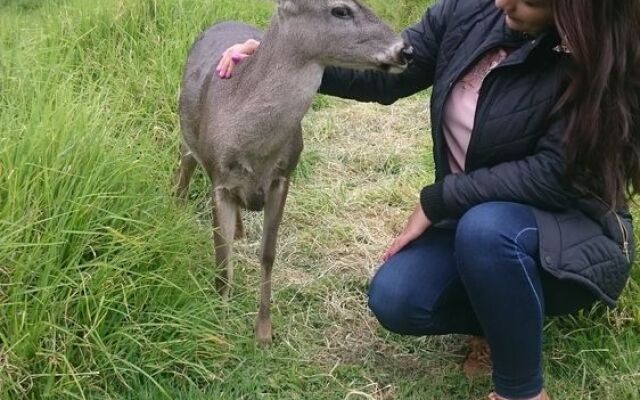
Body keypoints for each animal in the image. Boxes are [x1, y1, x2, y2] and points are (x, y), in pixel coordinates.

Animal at [178, 0, 412, 346]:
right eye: (340, 10)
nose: (405, 50)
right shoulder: (219, 179)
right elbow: (222, 258)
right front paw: (219, 320)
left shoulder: (282, 177)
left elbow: (268, 254)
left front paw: (263, 331)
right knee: (185, 158)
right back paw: (176, 201)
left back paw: (240, 230)